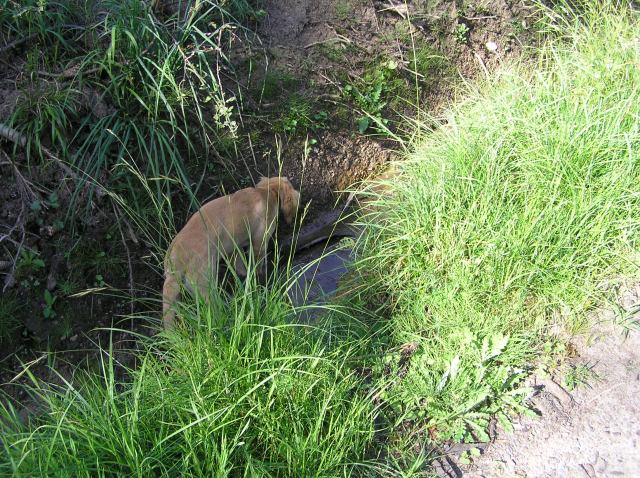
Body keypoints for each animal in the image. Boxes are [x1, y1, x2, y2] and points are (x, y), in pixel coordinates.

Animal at [162, 176, 300, 328]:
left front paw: (245, 275)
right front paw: (260, 276)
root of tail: (176, 259)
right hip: (205, 283)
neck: (266, 191)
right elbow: (258, 262)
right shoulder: (259, 241)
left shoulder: (232, 246)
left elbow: (238, 264)